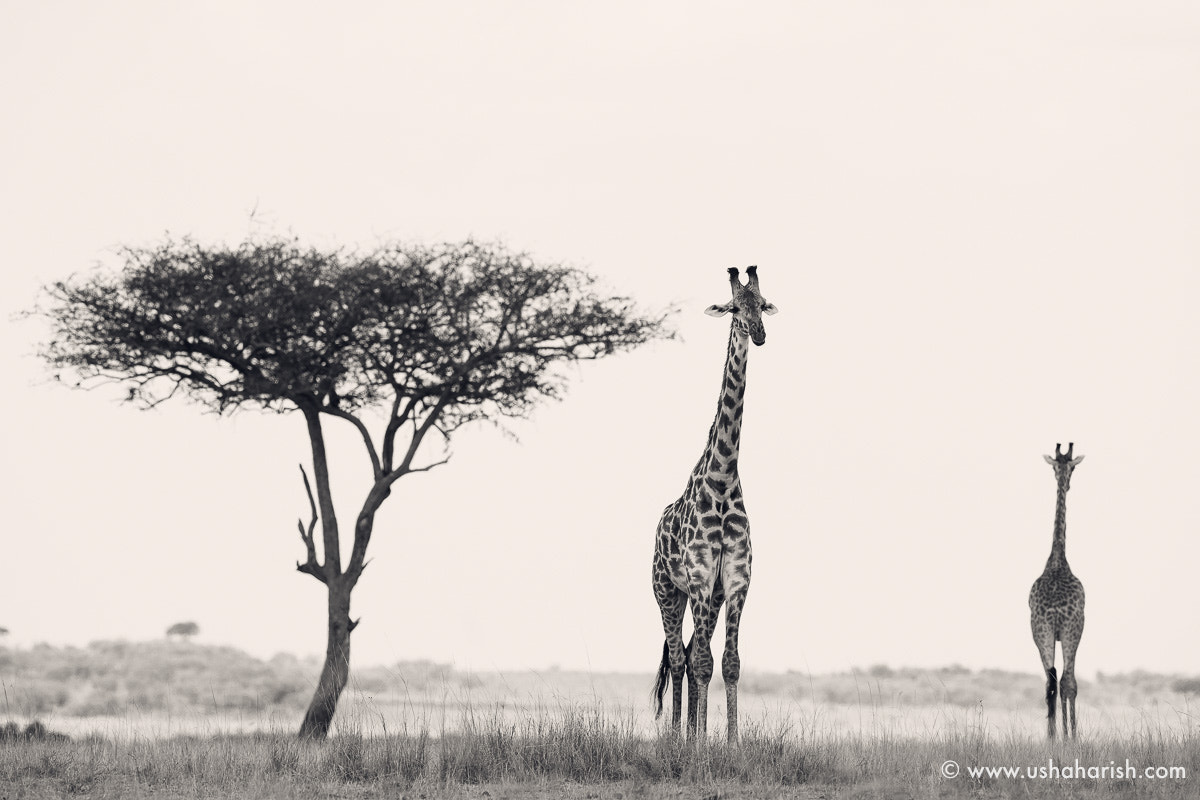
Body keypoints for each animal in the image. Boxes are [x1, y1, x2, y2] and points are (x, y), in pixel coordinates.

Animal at [651, 266, 778, 743]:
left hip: (707, 595)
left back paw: (687, 734)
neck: (722, 481)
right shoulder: (701, 577)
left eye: (762, 304)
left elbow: (730, 663)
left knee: (688, 653)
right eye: (734, 307)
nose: (759, 334)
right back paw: (675, 736)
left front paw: (731, 741)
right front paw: (703, 743)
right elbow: (703, 662)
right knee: (680, 656)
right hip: (667, 591)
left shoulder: (736, 581)